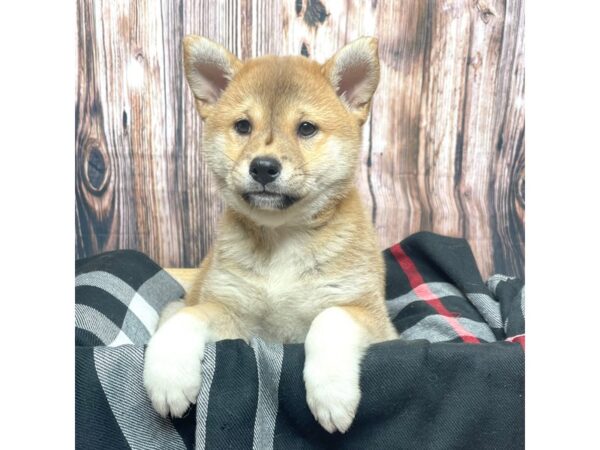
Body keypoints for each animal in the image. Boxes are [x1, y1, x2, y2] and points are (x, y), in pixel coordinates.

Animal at [144, 34, 398, 432]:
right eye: (243, 126)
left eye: (306, 128)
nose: (263, 167)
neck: (283, 238)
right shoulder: (233, 318)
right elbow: (189, 318)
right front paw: (169, 376)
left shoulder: (370, 314)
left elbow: (330, 319)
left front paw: (331, 392)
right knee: (176, 311)